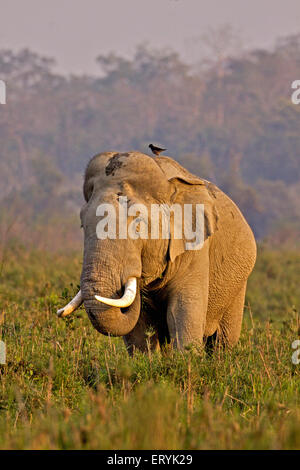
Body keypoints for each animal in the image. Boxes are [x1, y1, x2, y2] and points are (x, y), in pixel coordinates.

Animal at [57, 152, 256, 354]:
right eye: (83, 225)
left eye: (139, 223)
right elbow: (140, 329)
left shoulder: (195, 249)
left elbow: (182, 310)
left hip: (237, 286)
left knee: (223, 341)